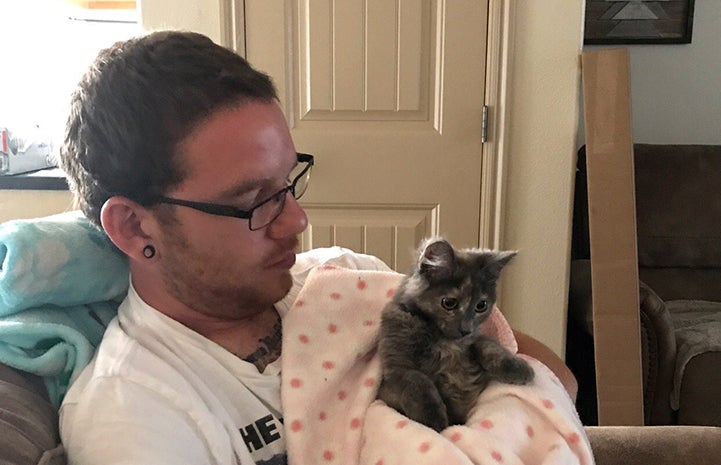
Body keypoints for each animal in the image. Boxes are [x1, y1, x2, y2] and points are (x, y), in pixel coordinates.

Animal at [376, 237, 536, 430]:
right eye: (449, 303)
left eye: (481, 305)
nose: (466, 329)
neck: (444, 340)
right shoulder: (395, 368)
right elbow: (417, 379)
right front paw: (433, 420)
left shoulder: (473, 340)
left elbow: (488, 345)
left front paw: (517, 367)